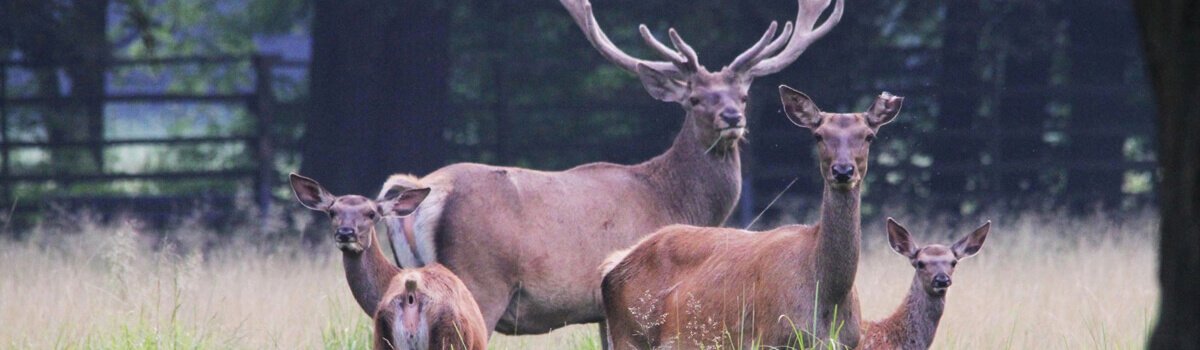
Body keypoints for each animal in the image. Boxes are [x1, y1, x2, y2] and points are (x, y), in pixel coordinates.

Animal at [374, 0, 844, 338]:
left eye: (742, 95)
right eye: (694, 98)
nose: (733, 117)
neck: (673, 199)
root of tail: (424, 190)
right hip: (480, 282)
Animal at [600, 85, 902, 350]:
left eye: (868, 136)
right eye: (818, 135)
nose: (842, 171)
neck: (829, 294)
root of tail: (612, 266)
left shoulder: (850, 341)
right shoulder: (772, 336)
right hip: (630, 334)